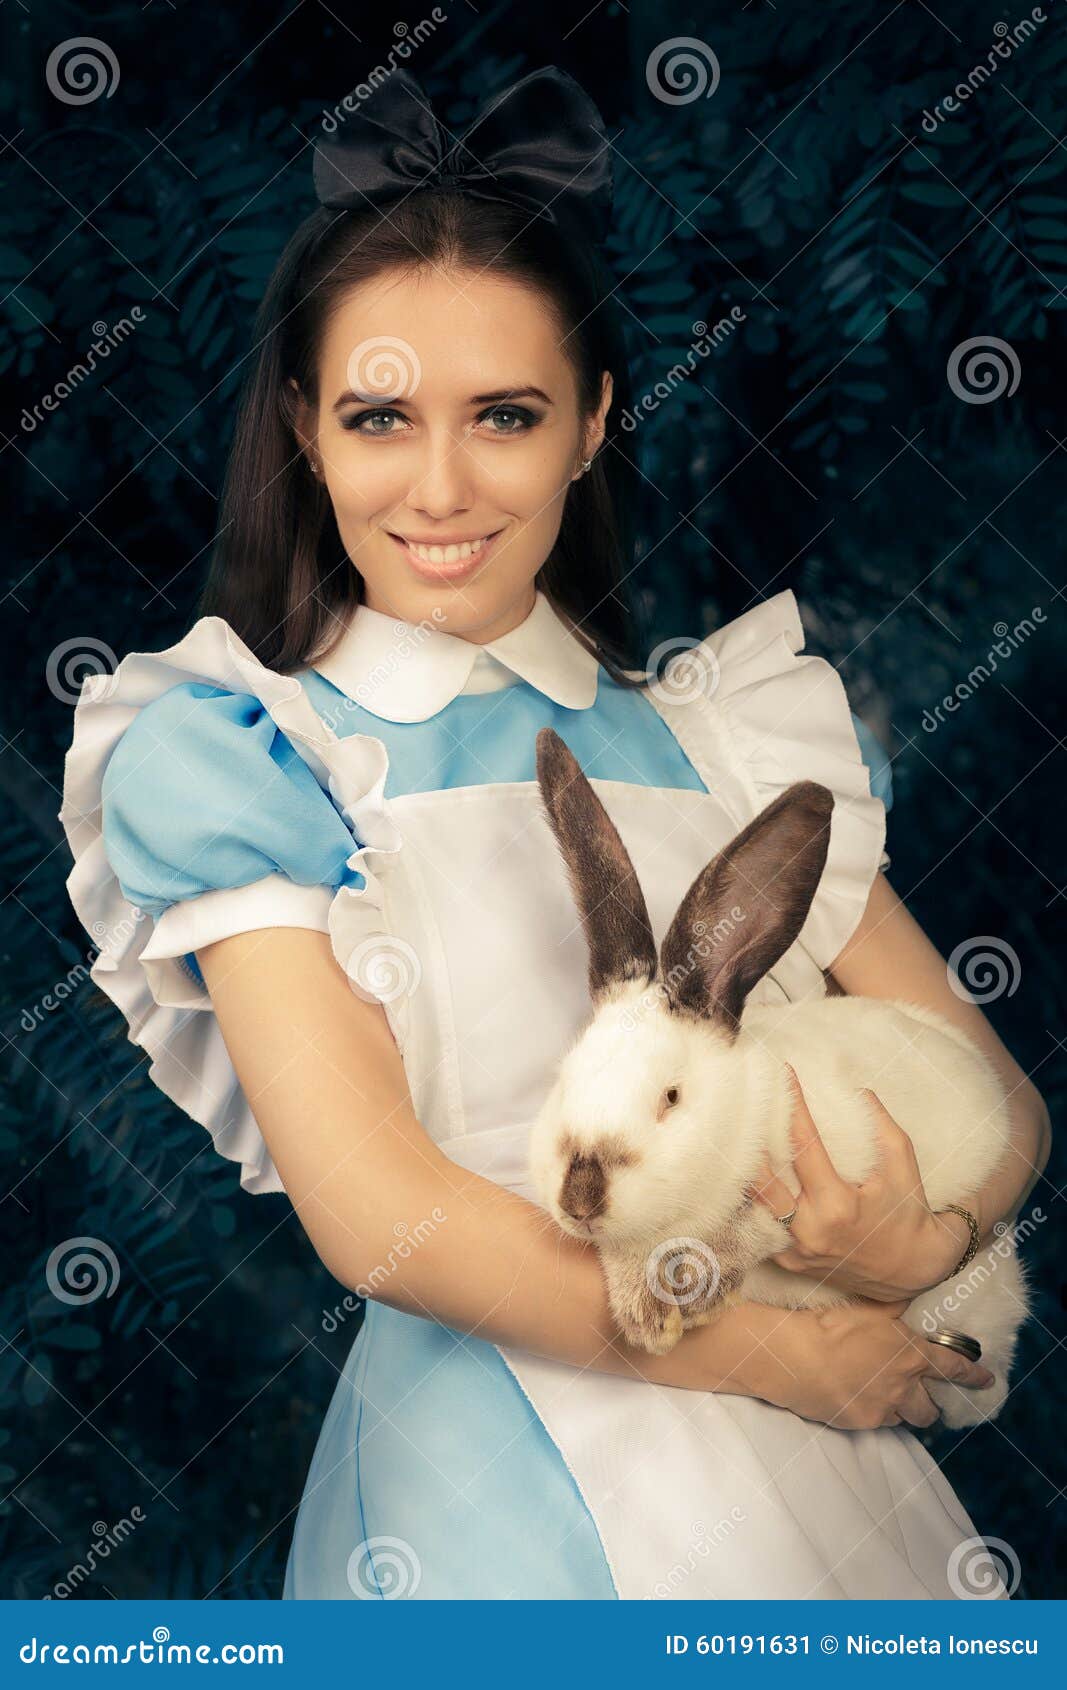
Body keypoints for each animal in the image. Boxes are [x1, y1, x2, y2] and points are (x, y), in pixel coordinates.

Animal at [530, 726, 1028, 1426]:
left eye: (671, 1097)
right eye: (564, 1078)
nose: (578, 1201)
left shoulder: (833, 1180)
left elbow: (755, 1230)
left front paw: (685, 1289)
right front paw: (645, 1312)